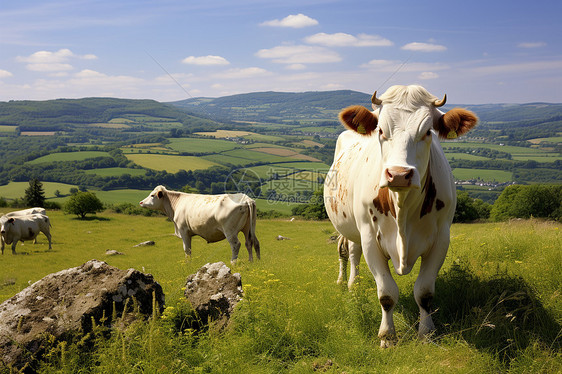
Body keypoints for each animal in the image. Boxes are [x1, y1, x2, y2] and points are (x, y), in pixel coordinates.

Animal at [324, 84, 476, 348]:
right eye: (381, 130)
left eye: (428, 132)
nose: (399, 174)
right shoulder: (369, 237)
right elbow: (386, 293)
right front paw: (387, 337)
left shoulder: (441, 239)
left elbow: (424, 292)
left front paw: (426, 333)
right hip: (350, 227)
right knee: (349, 252)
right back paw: (350, 284)